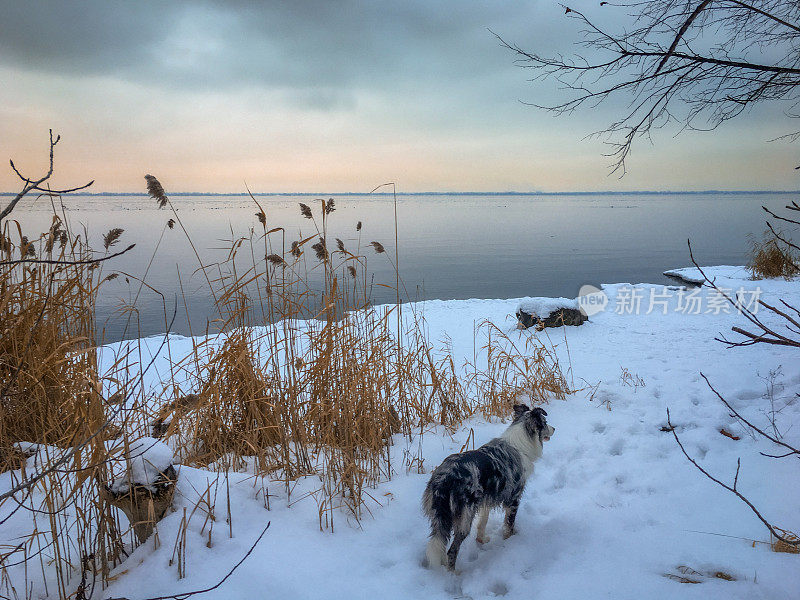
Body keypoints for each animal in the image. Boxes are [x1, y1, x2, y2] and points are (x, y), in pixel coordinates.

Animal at [422, 406, 552, 568]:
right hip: (465, 519)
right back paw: (453, 572)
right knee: (452, 550)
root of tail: (445, 479)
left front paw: (481, 540)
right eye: (545, 422)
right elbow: (509, 524)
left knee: (438, 543)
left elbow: (483, 522)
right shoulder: (514, 498)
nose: (554, 429)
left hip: (439, 517)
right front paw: (511, 541)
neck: (519, 442)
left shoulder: (486, 500)